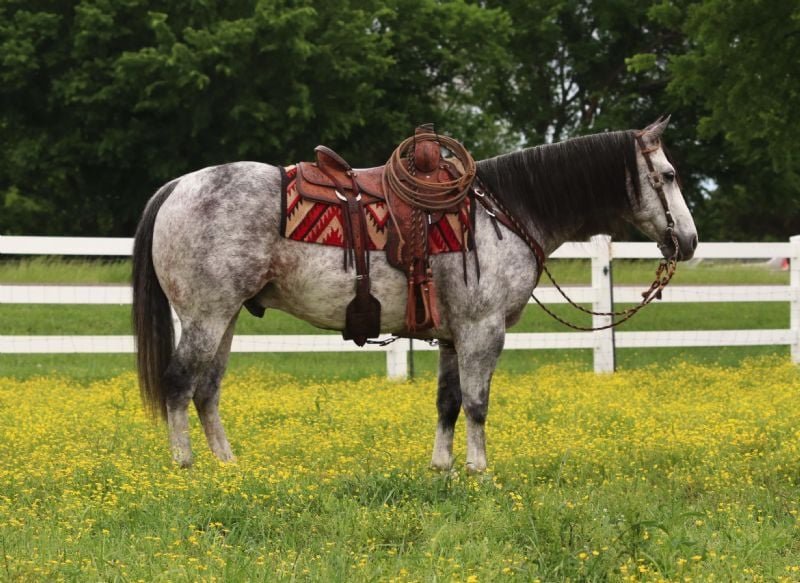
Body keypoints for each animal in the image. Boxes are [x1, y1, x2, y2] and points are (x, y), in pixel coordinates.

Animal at [132, 118, 698, 471]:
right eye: (669, 175)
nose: (688, 241)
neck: (505, 211)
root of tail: (178, 186)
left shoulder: (451, 336)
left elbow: (448, 403)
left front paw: (441, 468)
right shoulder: (482, 330)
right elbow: (477, 403)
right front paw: (479, 471)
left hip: (225, 318)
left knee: (207, 390)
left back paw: (227, 467)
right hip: (205, 316)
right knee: (179, 384)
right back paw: (186, 466)